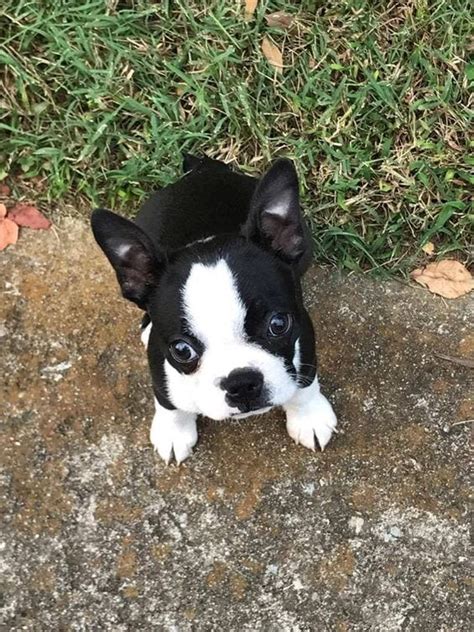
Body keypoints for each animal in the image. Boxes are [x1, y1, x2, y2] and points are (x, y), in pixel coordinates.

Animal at [91, 155, 336, 464]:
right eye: (182, 350)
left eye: (279, 325)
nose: (242, 382)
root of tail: (205, 169)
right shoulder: (159, 360)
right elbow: (167, 401)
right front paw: (173, 432)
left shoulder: (304, 334)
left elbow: (305, 380)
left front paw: (308, 417)